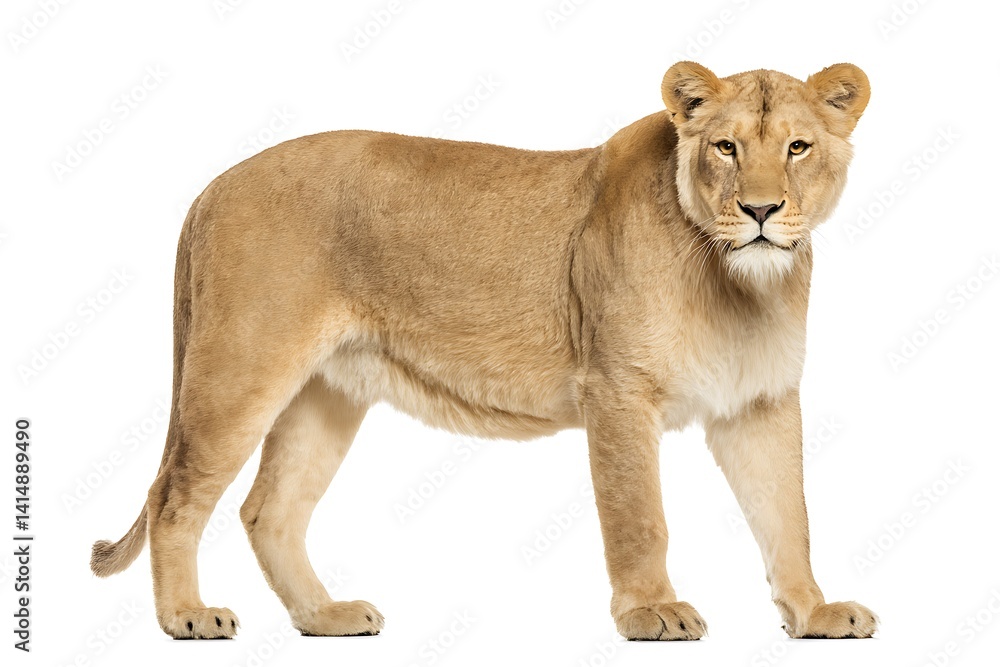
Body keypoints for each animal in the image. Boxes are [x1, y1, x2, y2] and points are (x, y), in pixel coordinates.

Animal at [91, 61, 875, 641]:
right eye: (726, 147)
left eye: (798, 147)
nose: (761, 211)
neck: (738, 283)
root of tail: (215, 184)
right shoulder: (618, 389)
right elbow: (639, 515)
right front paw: (652, 611)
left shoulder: (760, 401)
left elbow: (789, 516)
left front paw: (814, 612)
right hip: (240, 368)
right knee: (173, 496)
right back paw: (186, 616)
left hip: (327, 392)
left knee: (269, 511)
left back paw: (325, 616)